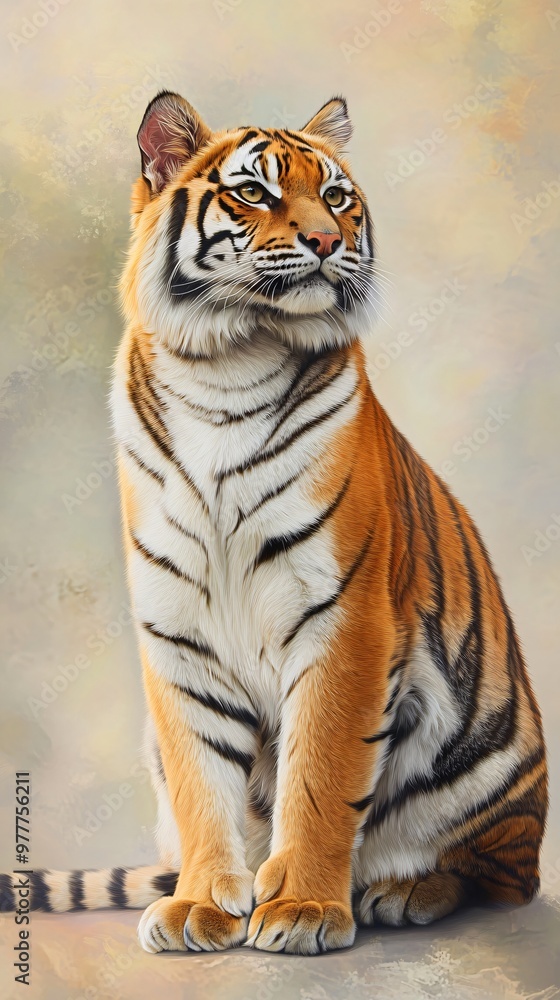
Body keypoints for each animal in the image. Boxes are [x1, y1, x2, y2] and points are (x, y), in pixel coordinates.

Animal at [1, 91, 547, 956]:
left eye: (336, 196)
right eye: (253, 193)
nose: (326, 242)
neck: (226, 366)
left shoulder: (345, 621)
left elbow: (322, 773)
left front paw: (302, 910)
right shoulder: (178, 628)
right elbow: (201, 780)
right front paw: (201, 906)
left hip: (489, 770)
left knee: (498, 878)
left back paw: (404, 892)